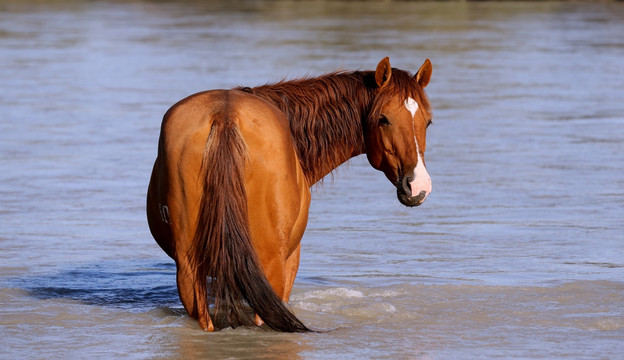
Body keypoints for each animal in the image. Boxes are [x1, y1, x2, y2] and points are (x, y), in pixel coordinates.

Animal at [146, 57, 432, 332]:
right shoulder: (290, 262)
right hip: (270, 267)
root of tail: (224, 117)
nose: (418, 186)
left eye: (428, 122)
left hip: (189, 270)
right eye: (383, 119)